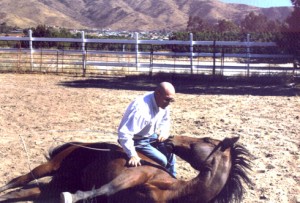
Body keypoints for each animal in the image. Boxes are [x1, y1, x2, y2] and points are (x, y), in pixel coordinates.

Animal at [0, 136, 253, 202]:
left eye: (206, 139)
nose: (172, 139)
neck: (175, 192)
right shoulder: (134, 175)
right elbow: (106, 189)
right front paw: (73, 197)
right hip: (50, 166)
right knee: (19, 179)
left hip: (53, 185)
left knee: (23, 191)